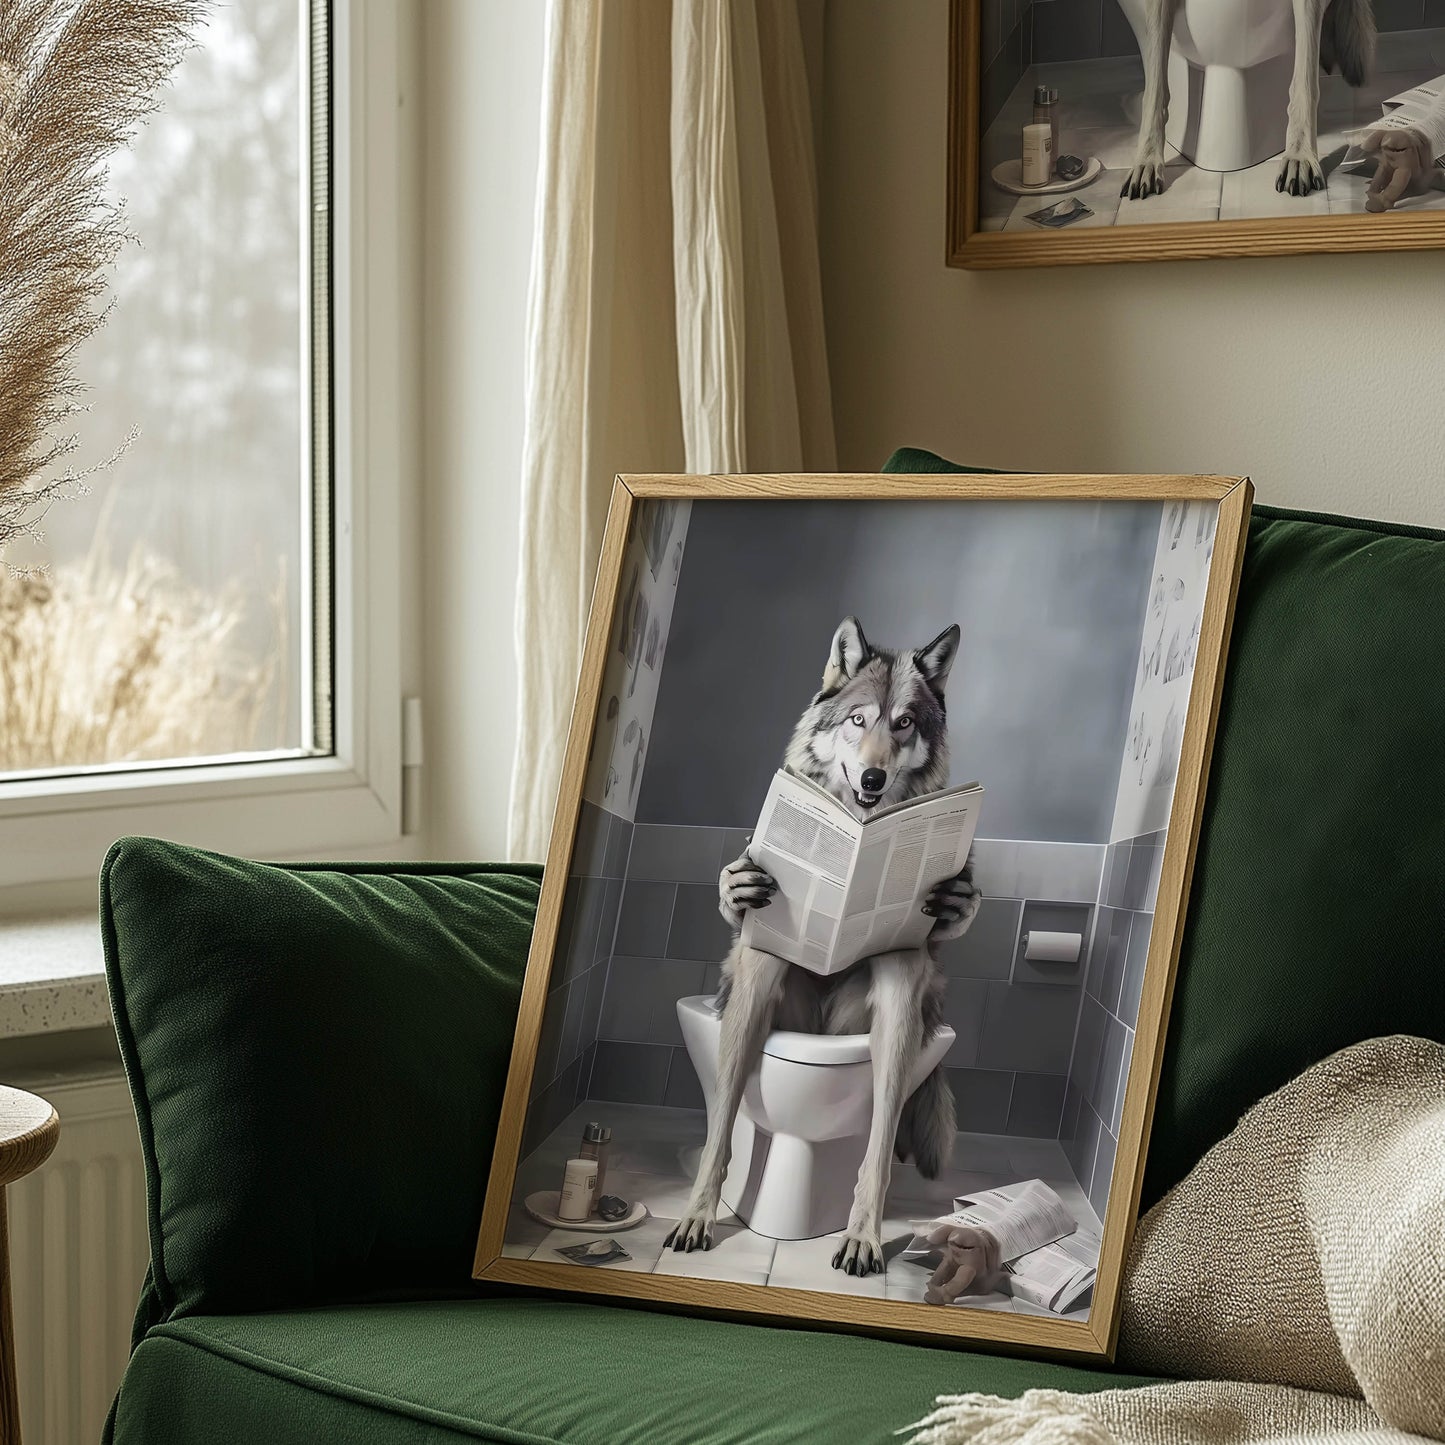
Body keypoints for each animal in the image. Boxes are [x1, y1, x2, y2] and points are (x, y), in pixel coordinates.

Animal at [662, 617, 981, 1276]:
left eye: (903, 723)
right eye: (858, 720)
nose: (872, 779)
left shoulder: (908, 950)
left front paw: (864, 1232)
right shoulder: (760, 930)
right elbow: (720, 1126)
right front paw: (700, 1211)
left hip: (889, 1008)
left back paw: (859, 1233)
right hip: (761, 984)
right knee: (728, 1104)